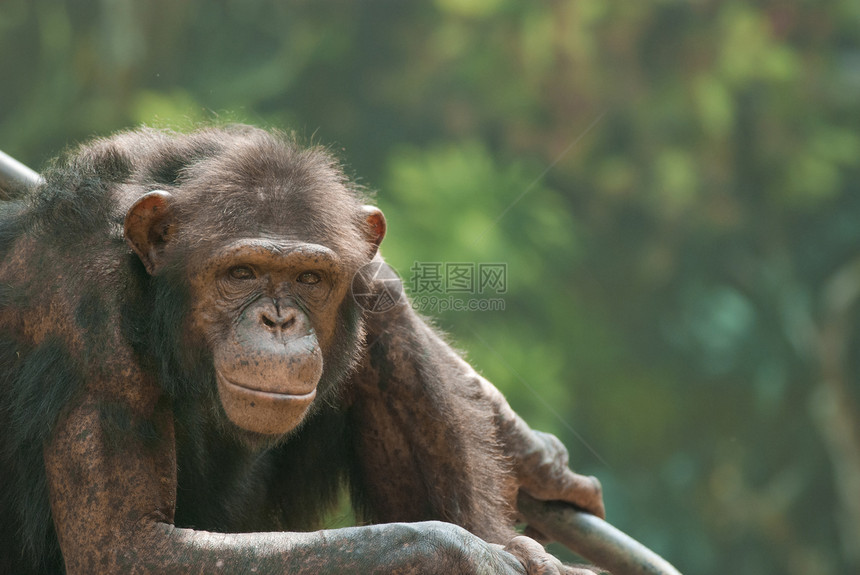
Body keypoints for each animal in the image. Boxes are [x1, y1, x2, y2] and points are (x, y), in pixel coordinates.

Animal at [0, 127, 604, 575]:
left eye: (310, 278)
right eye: (241, 273)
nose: (279, 320)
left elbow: (379, 284)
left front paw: (531, 454)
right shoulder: (86, 312)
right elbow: (128, 545)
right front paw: (467, 554)